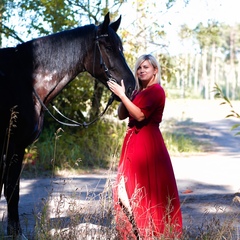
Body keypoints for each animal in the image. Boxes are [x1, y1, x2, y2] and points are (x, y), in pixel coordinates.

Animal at [0, 13, 135, 236]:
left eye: (121, 47)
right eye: (107, 47)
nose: (131, 87)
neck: (26, 80)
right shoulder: (14, 146)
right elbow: (11, 190)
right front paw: (15, 233)